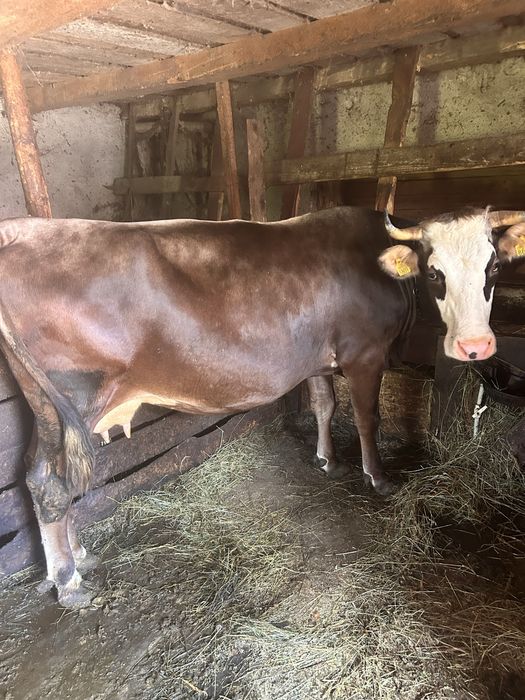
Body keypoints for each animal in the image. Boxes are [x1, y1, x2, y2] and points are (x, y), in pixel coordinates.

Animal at [0, 205, 523, 608]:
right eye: (434, 271)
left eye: (493, 267)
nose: (474, 346)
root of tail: (20, 229)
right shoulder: (365, 354)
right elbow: (366, 417)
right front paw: (378, 477)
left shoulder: (319, 358)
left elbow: (324, 404)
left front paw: (327, 459)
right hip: (71, 394)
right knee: (48, 480)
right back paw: (68, 579)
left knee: (48, 474)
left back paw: (77, 556)